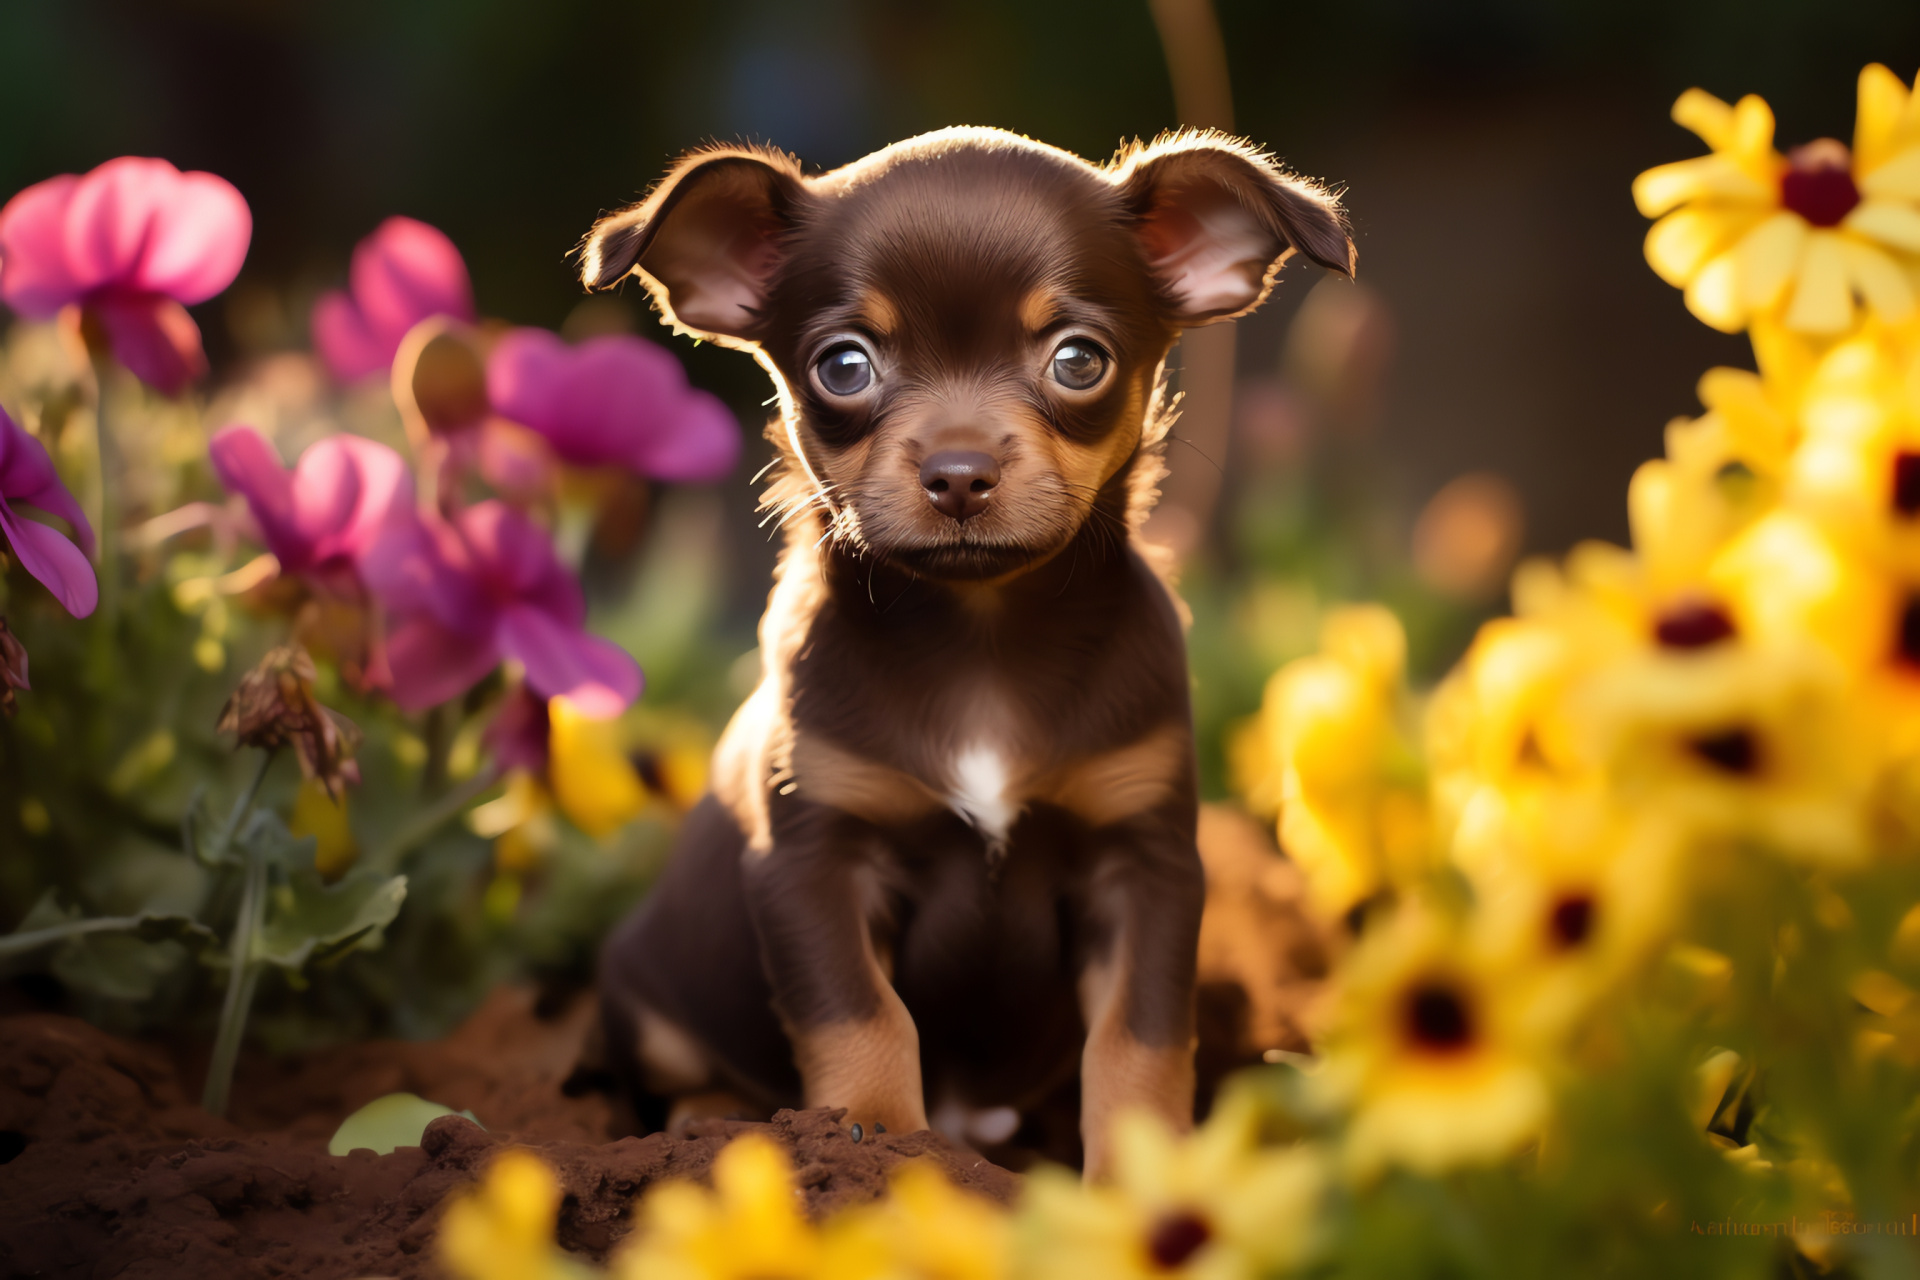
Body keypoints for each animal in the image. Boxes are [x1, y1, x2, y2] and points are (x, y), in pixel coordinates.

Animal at [583, 124, 1351, 1174]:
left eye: (1079, 361)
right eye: (843, 367)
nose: (958, 472)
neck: (982, 638)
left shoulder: (1143, 865)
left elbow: (1141, 1037)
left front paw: (1139, 1174)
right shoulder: (814, 863)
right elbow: (860, 1018)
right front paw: (875, 1152)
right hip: (647, 990)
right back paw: (710, 1128)